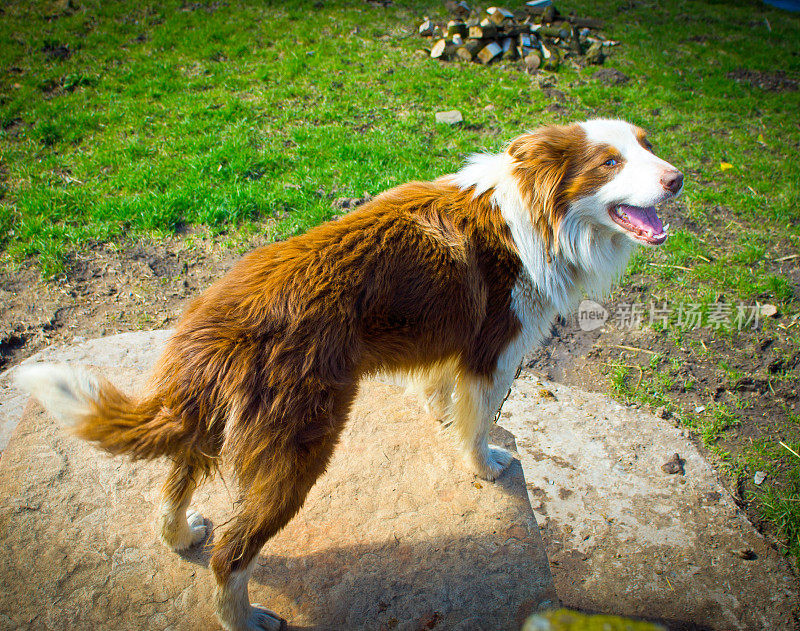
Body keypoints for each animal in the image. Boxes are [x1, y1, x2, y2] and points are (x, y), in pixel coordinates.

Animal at [17, 119, 680, 631]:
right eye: (610, 161)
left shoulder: (450, 345)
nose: (677, 178)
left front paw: (439, 416)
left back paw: (181, 537)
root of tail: (222, 322)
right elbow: (477, 424)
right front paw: (486, 464)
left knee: (172, 486)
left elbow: (440, 394)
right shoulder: (494, 350)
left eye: (647, 145)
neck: (540, 215)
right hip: (300, 445)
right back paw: (244, 617)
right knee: (232, 552)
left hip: (207, 421)